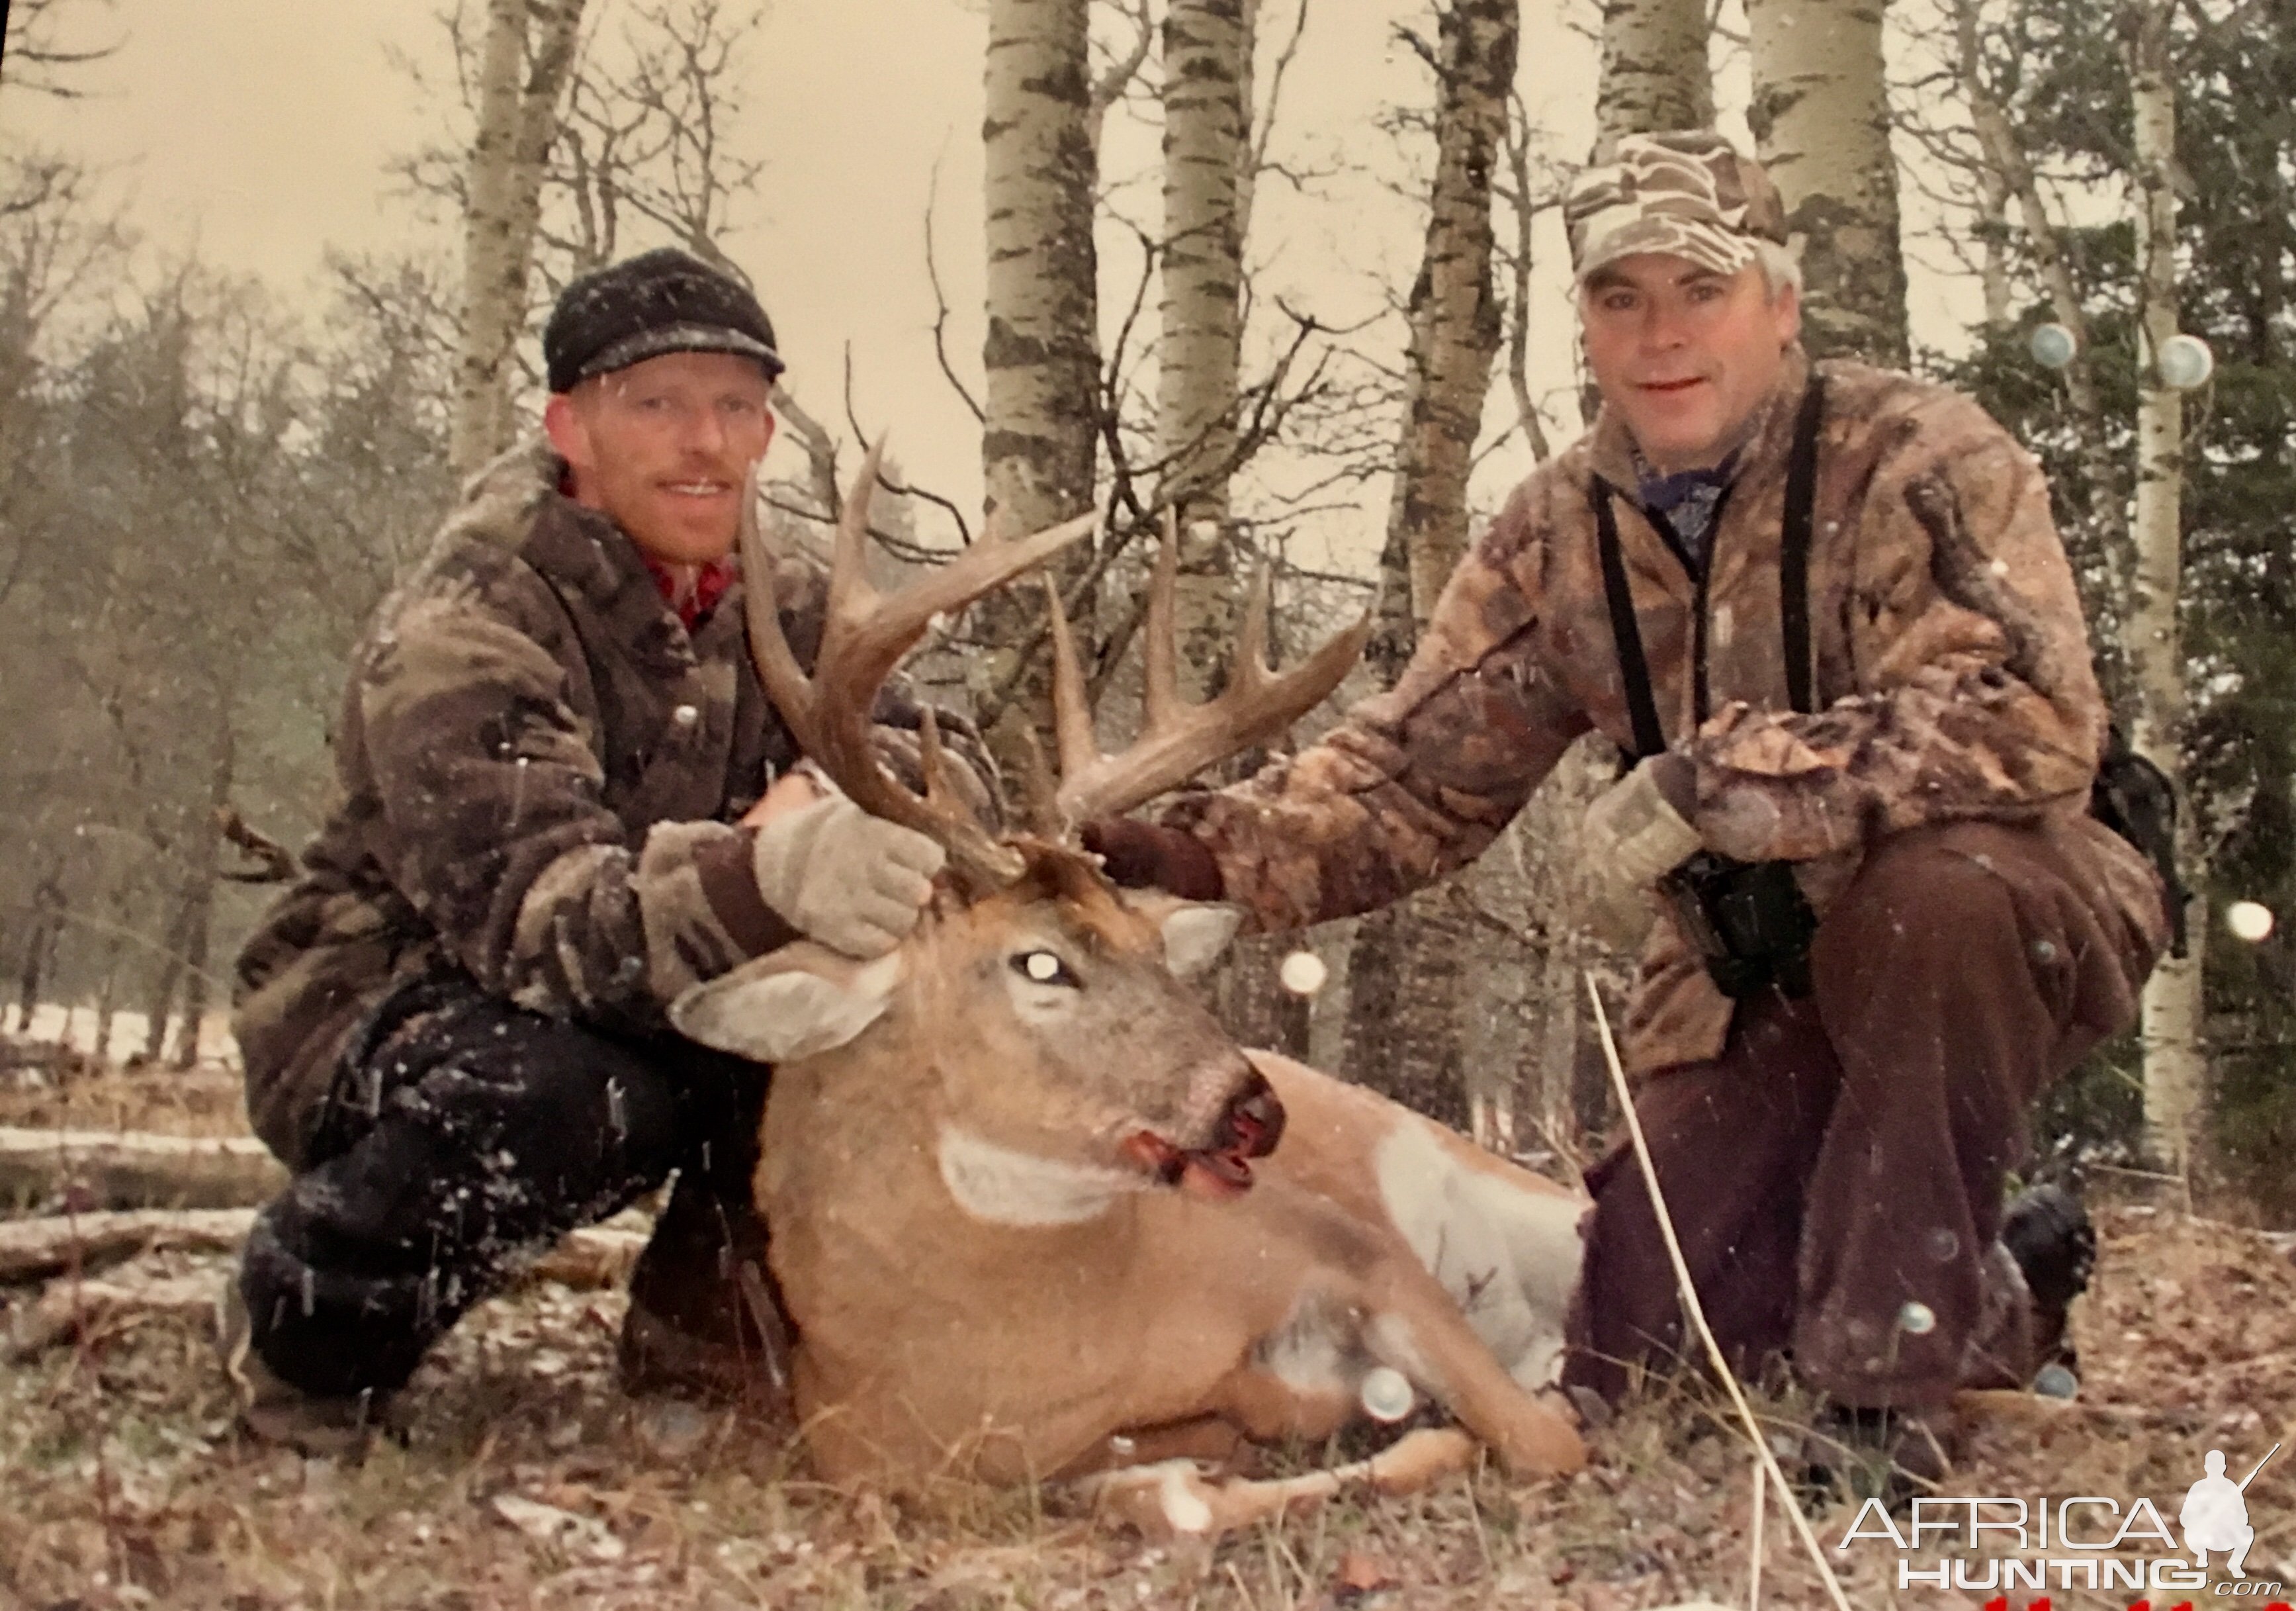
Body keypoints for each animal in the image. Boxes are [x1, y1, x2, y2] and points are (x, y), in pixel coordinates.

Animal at [670, 453, 1589, 1535]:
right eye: (1038, 963)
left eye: (1154, 945)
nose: (1255, 1110)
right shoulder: (924, 1470)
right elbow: (1172, 1496)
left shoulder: (1349, 1242)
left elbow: (1543, 1441)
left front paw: (1480, 1424)